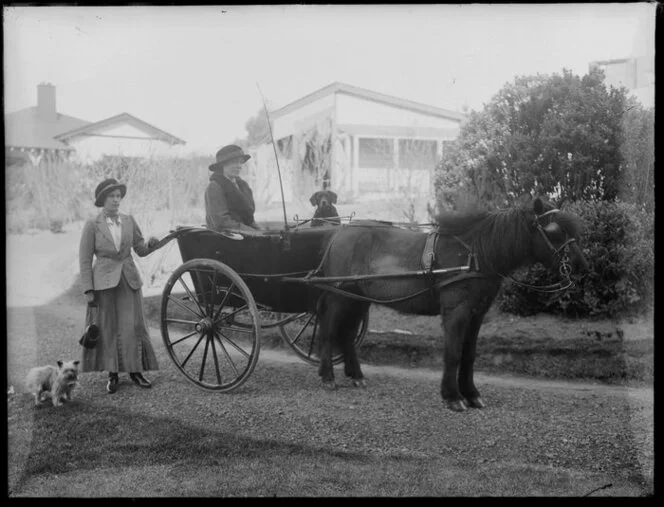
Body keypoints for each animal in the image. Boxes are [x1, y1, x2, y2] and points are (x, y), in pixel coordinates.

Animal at [316, 197, 588, 412]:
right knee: (329, 332)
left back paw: (356, 375)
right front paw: (452, 396)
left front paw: (471, 394)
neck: (476, 254)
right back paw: (328, 376)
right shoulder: (456, 312)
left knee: (348, 334)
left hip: (358, 300)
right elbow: (453, 353)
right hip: (340, 297)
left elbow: (469, 355)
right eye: (554, 231)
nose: (581, 266)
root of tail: (339, 234)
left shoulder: (477, 314)